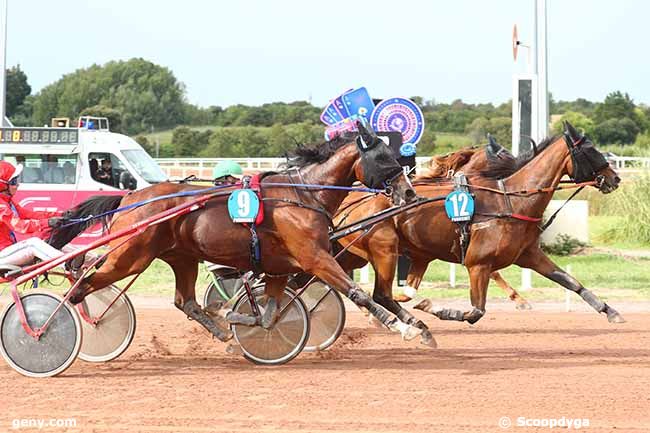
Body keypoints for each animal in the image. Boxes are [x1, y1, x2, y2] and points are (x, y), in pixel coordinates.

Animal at [50, 122, 430, 344]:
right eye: (384, 158)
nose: (410, 193)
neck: (303, 194)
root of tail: (130, 197)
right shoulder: (315, 258)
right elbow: (358, 293)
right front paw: (403, 326)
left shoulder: (281, 266)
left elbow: (271, 312)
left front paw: (236, 315)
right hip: (131, 255)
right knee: (84, 282)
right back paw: (65, 323)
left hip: (180, 256)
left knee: (185, 301)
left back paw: (220, 330)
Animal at [332, 120, 620, 324]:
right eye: (591, 150)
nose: (614, 178)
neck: (511, 200)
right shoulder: (477, 263)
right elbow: (475, 311)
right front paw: (434, 308)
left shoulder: (529, 255)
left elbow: (570, 281)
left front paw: (609, 310)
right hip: (380, 250)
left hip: (356, 254)